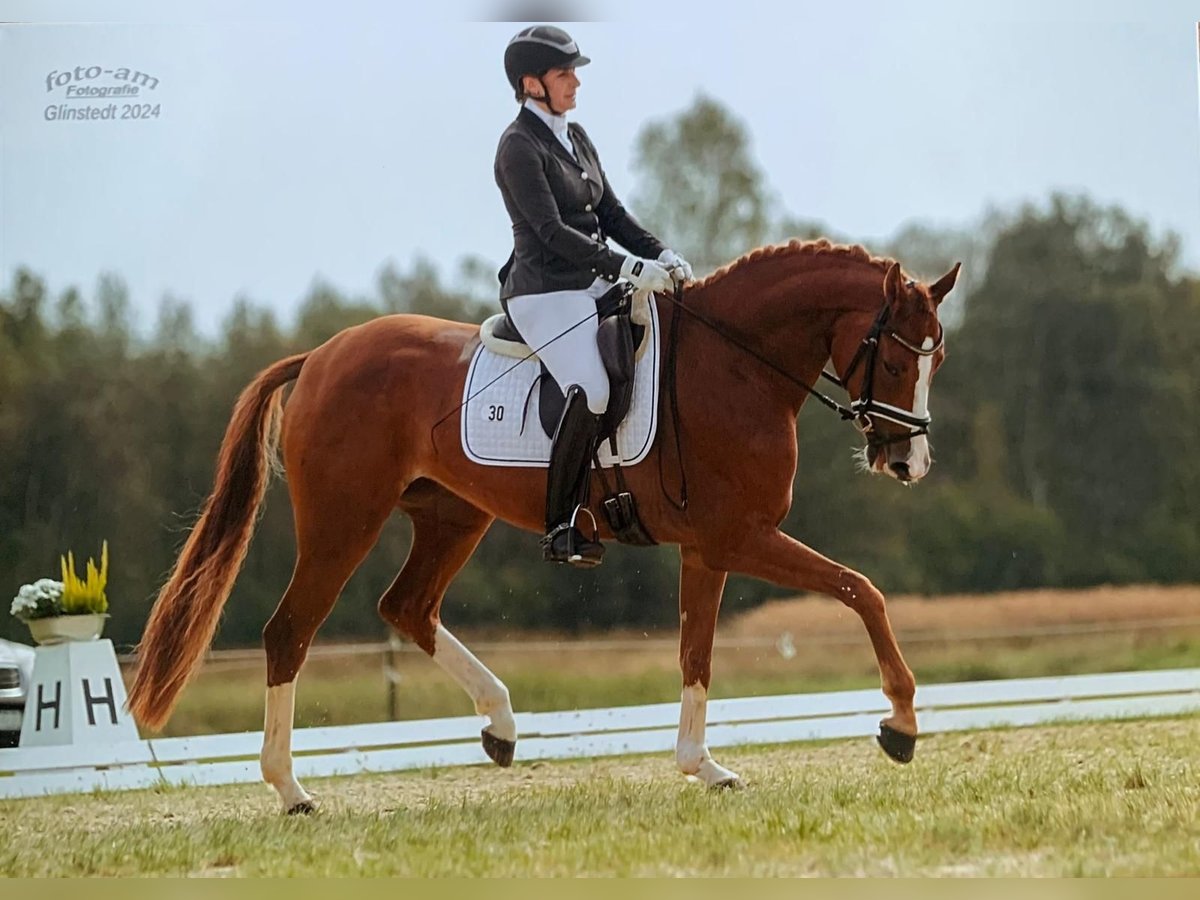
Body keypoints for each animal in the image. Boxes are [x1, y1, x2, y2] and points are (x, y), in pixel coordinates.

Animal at [129, 241, 955, 816]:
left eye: (936, 357)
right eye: (894, 360)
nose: (910, 461)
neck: (734, 366)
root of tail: (324, 354)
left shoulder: (708, 548)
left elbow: (697, 654)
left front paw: (704, 766)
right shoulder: (739, 538)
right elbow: (862, 591)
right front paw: (901, 723)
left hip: (452, 516)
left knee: (408, 608)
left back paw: (500, 726)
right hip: (343, 521)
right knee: (290, 633)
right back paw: (292, 790)